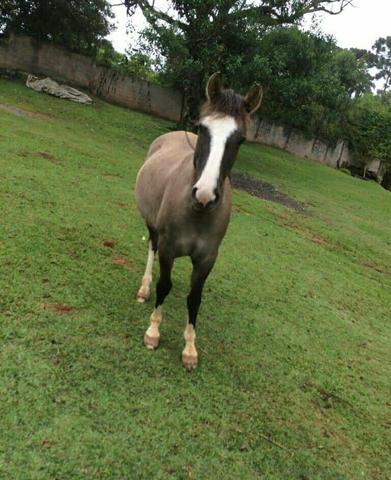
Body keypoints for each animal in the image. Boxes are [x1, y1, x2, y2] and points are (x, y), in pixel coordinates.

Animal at [135, 73, 264, 370]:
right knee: (151, 248)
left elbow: (194, 299)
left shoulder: (207, 258)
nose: (204, 195)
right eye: (203, 129)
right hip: (152, 226)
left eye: (240, 139)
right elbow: (164, 286)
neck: (196, 212)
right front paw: (153, 332)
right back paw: (144, 288)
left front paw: (190, 348)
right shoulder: (169, 249)